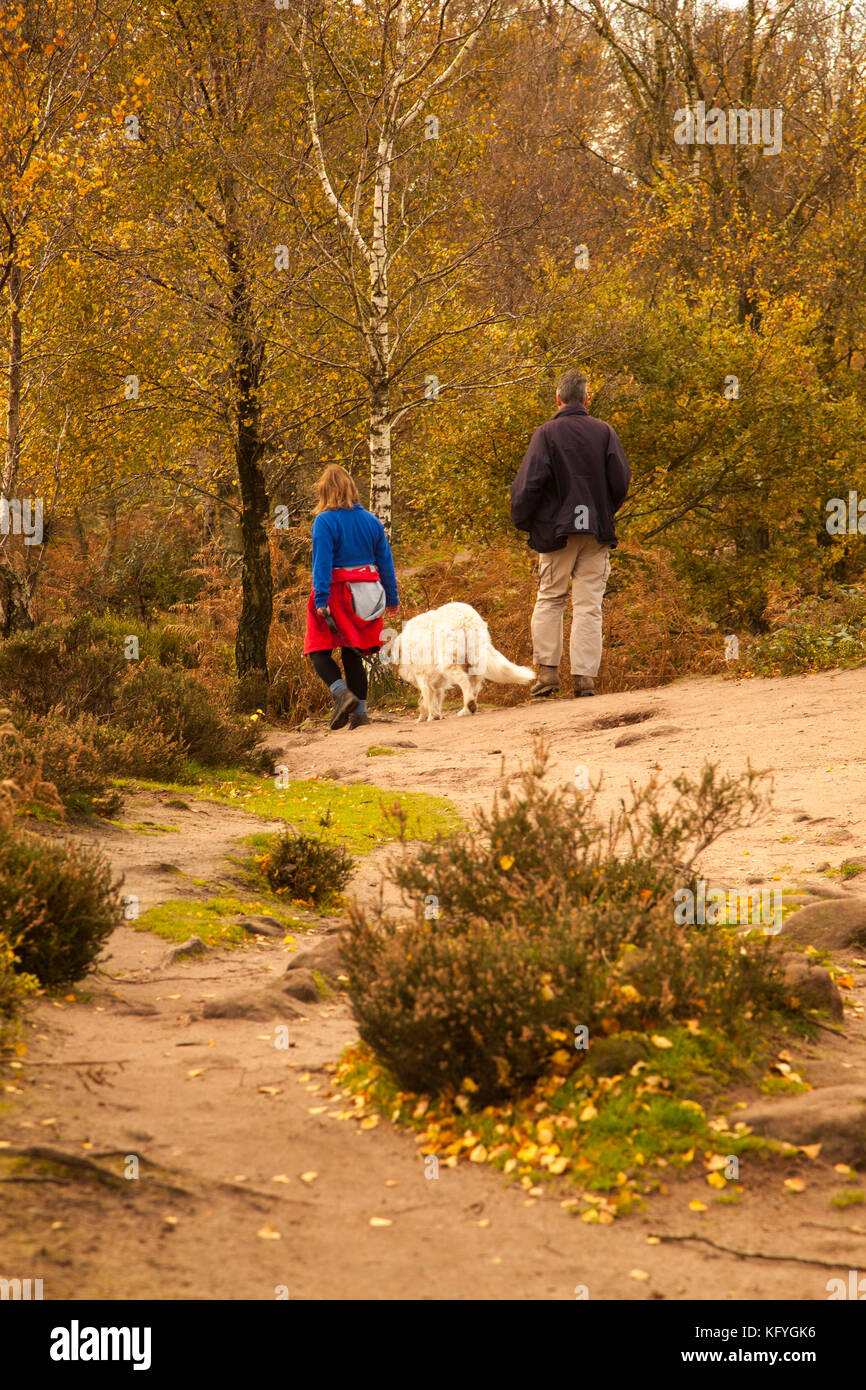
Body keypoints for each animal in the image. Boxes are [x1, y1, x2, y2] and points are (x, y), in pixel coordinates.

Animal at [386, 600, 536, 722]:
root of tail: (466, 618)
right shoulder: (436, 683)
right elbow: (434, 698)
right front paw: (432, 715)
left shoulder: (423, 677)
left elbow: (427, 698)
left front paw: (429, 716)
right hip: (475, 658)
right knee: (474, 684)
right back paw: (467, 709)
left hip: (449, 662)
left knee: (464, 681)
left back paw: (469, 705)